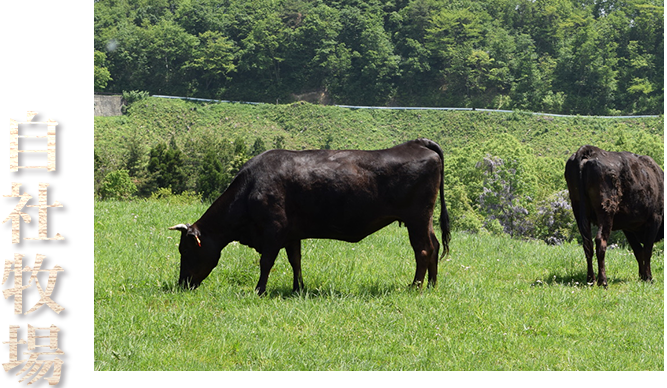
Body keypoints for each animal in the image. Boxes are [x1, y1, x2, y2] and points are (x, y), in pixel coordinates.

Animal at [167, 139, 452, 294]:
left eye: (186, 250)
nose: (182, 284)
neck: (250, 188)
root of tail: (416, 143)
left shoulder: (274, 229)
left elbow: (266, 262)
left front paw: (259, 290)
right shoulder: (291, 234)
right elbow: (296, 261)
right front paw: (299, 288)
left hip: (416, 218)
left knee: (423, 250)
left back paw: (415, 287)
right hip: (424, 219)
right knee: (435, 246)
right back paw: (432, 286)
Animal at [568, 144, 664, 286]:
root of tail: (589, 151)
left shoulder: (628, 227)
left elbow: (638, 251)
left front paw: (642, 276)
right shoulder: (655, 219)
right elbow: (647, 250)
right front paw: (648, 277)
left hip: (579, 211)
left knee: (587, 244)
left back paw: (591, 279)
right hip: (606, 212)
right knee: (600, 241)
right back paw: (603, 281)